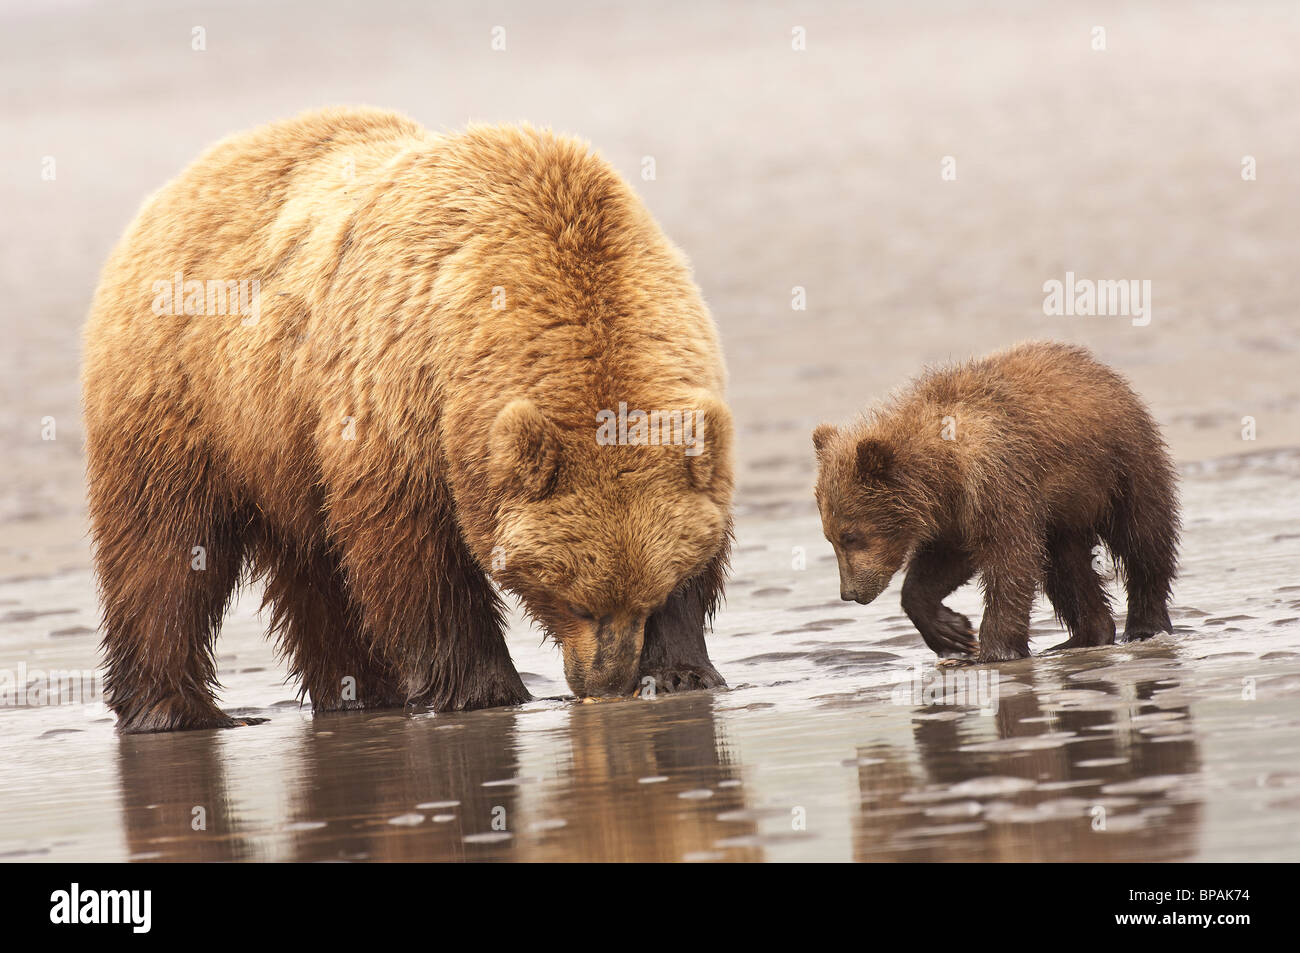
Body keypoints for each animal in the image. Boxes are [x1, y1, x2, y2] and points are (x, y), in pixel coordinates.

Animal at [82, 107, 734, 732]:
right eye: (574, 600)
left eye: (646, 597)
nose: (604, 680)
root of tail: (179, 184)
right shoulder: (400, 392)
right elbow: (415, 556)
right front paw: (484, 690)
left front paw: (680, 672)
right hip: (184, 399)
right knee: (165, 551)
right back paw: (178, 709)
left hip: (286, 452)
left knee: (316, 572)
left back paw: (359, 693)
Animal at [811, 340, 1179, 663]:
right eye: (830, 537)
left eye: (850, 535)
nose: (849, 593)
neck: (943, 471)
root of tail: (1100, 369)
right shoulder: (956, 513)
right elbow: (945, 561)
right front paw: (952, 632)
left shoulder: (1000, 479)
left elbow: (1010, 560)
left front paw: (994, 651)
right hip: (1064, 513)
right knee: (1067, 568)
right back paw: (1083, 636)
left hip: (1121, 466)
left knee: (1143, 539)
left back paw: (1144, 626)